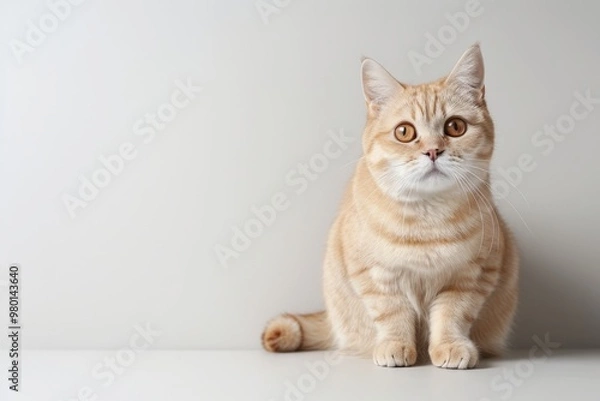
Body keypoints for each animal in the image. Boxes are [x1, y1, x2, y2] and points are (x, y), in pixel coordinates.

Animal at [260, 43, 516, 368]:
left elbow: (453, 315)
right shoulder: (374, 275)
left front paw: (450, 346)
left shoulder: (472, 276)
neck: (428, 219)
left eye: (455, 127)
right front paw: (396, 347)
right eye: (404, 132)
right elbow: (393, 314)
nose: (433, 150)